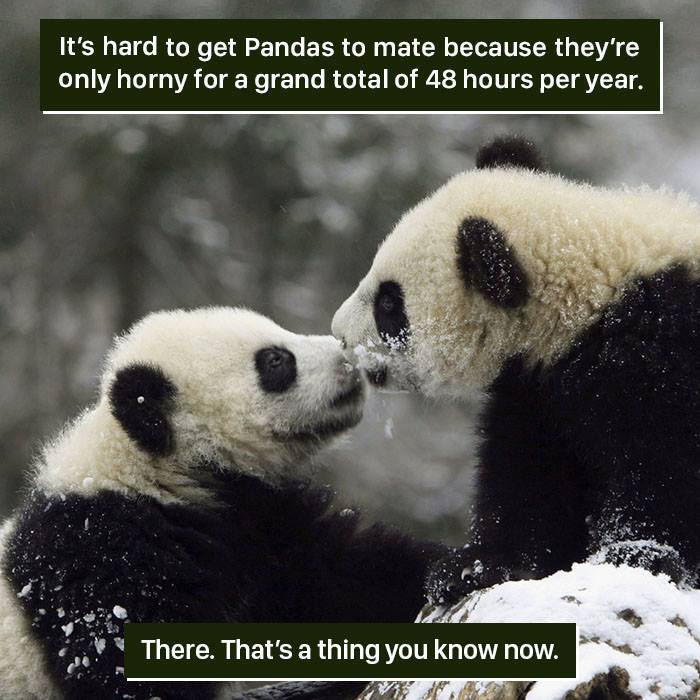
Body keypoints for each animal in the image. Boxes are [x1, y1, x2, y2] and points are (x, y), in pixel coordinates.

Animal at [0, 307, 446, 700]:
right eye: (275, 360)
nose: (349, 355)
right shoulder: (103, 563)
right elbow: (132, 671)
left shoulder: (258, 523)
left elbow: (339, 577)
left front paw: (449, 571)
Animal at [332, 136, 700, 607]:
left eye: (390, 304)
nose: (338, 334)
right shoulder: (537, 380)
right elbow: (527, 471)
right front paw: (472, 567)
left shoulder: (658, 345)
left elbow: (663, 459)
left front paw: (638, 554)